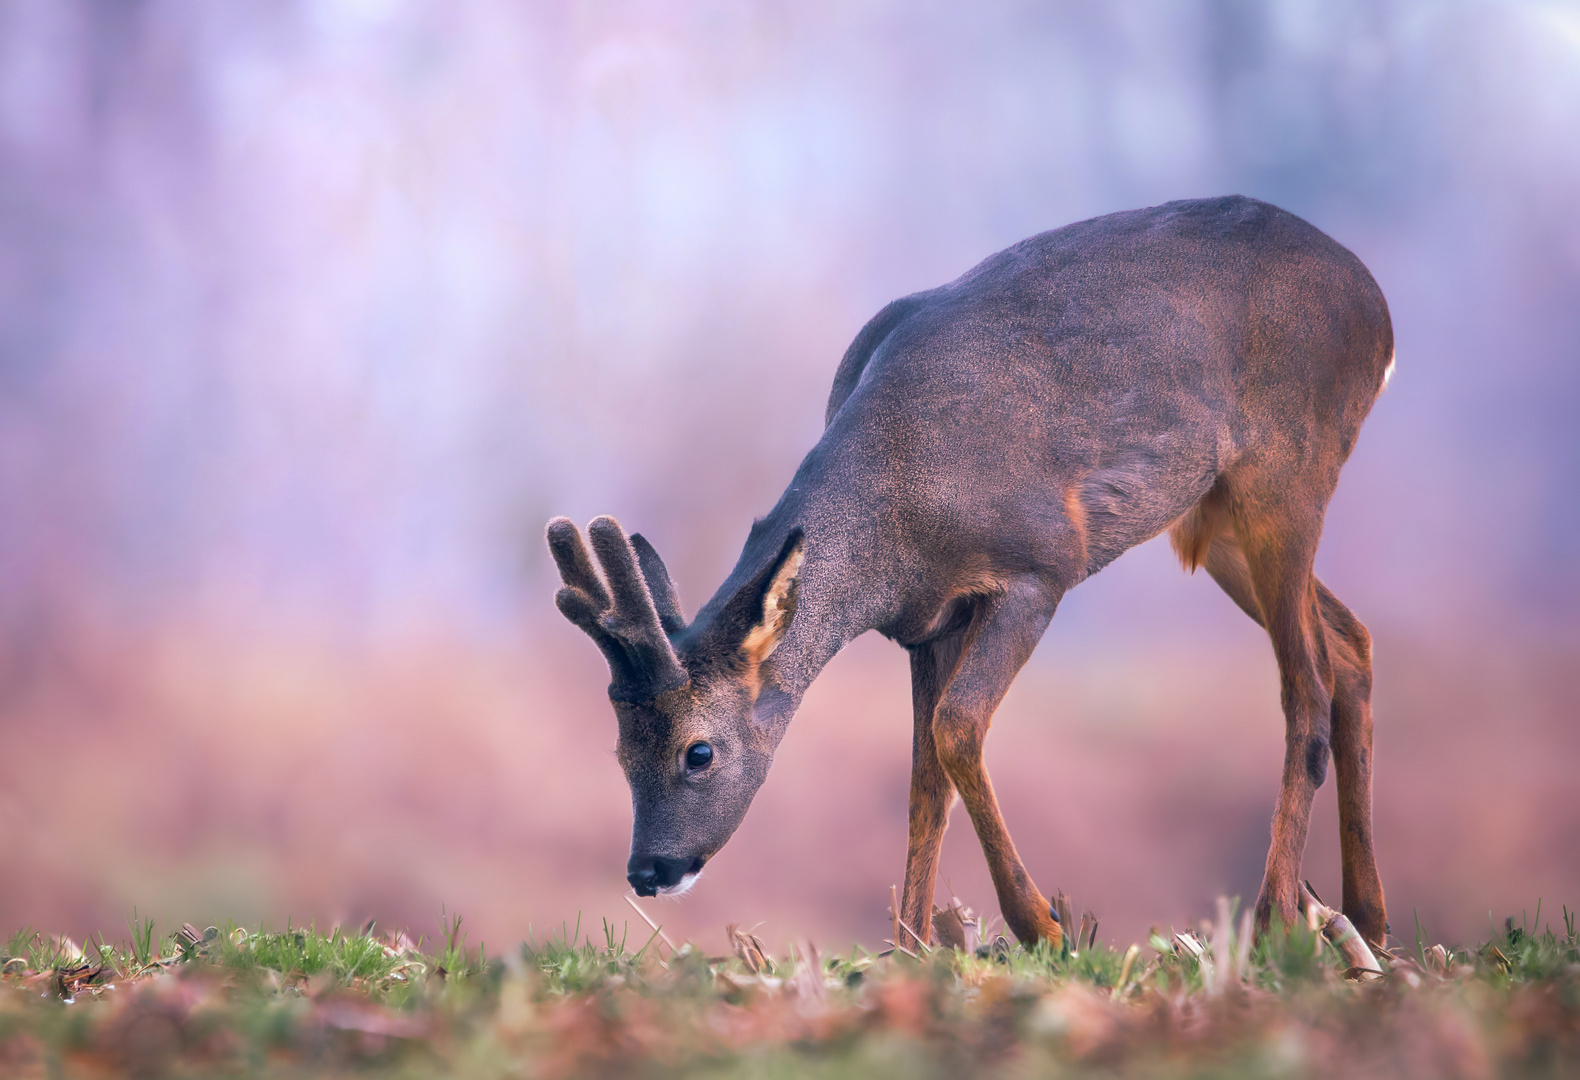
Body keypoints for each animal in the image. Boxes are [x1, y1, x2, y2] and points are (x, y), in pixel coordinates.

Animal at [549, 198, 1390, 947]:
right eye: (620, 750)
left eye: (699, 751)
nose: (649, 871)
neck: (899, 504)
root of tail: (1376, 307)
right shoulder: (928, 621)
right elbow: (923, 782)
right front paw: (912, 946)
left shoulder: (1039, 566)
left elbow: (955, 729)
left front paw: (1043, 925)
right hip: (1213, 519)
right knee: (1350, 644)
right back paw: (1366, 918)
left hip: (1287, 468)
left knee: (1306, 681)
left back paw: (1278, 918)